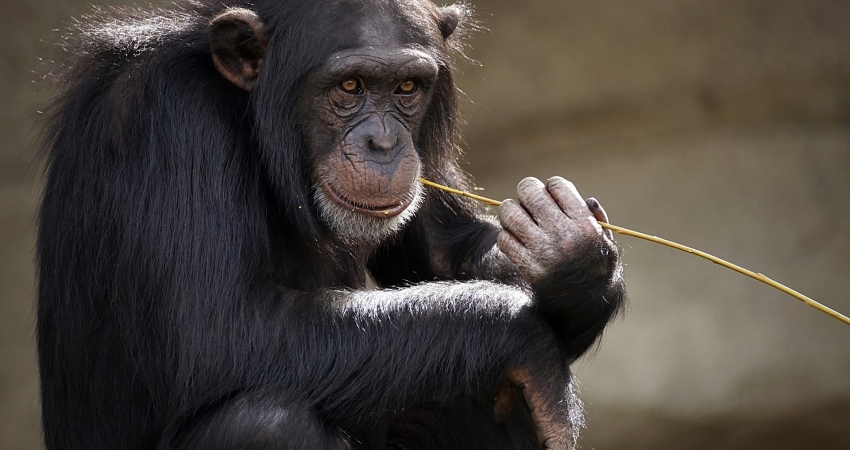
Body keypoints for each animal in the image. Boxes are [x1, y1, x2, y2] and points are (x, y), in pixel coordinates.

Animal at [38, 0, 624, 450]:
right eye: (350, 85)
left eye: (407, 88)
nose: (383, 142)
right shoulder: (169, 116)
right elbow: (216, 330)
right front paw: (525, 337)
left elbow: (443, 249)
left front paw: (571, 255)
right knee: (265, 422)